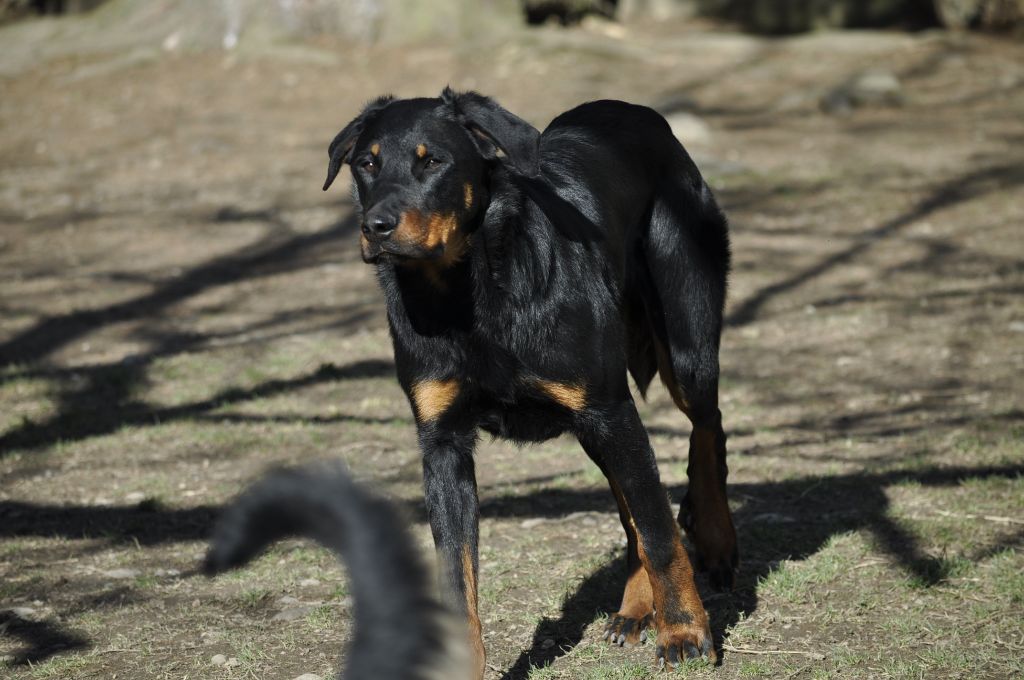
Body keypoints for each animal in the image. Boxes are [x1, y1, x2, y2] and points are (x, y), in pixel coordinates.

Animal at [323, 87, 733, 671]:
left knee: (706, 428)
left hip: (683, 345)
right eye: (366, 163)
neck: (466, 292)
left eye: (433, 161)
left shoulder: (609, 408)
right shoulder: (443, 442)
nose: (375, 226)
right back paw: (634, 610)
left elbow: (659, 531)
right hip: (597, 424)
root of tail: (637, 112)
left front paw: (683, 633)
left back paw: (717, 540)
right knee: (632, 502)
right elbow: (457, 574)